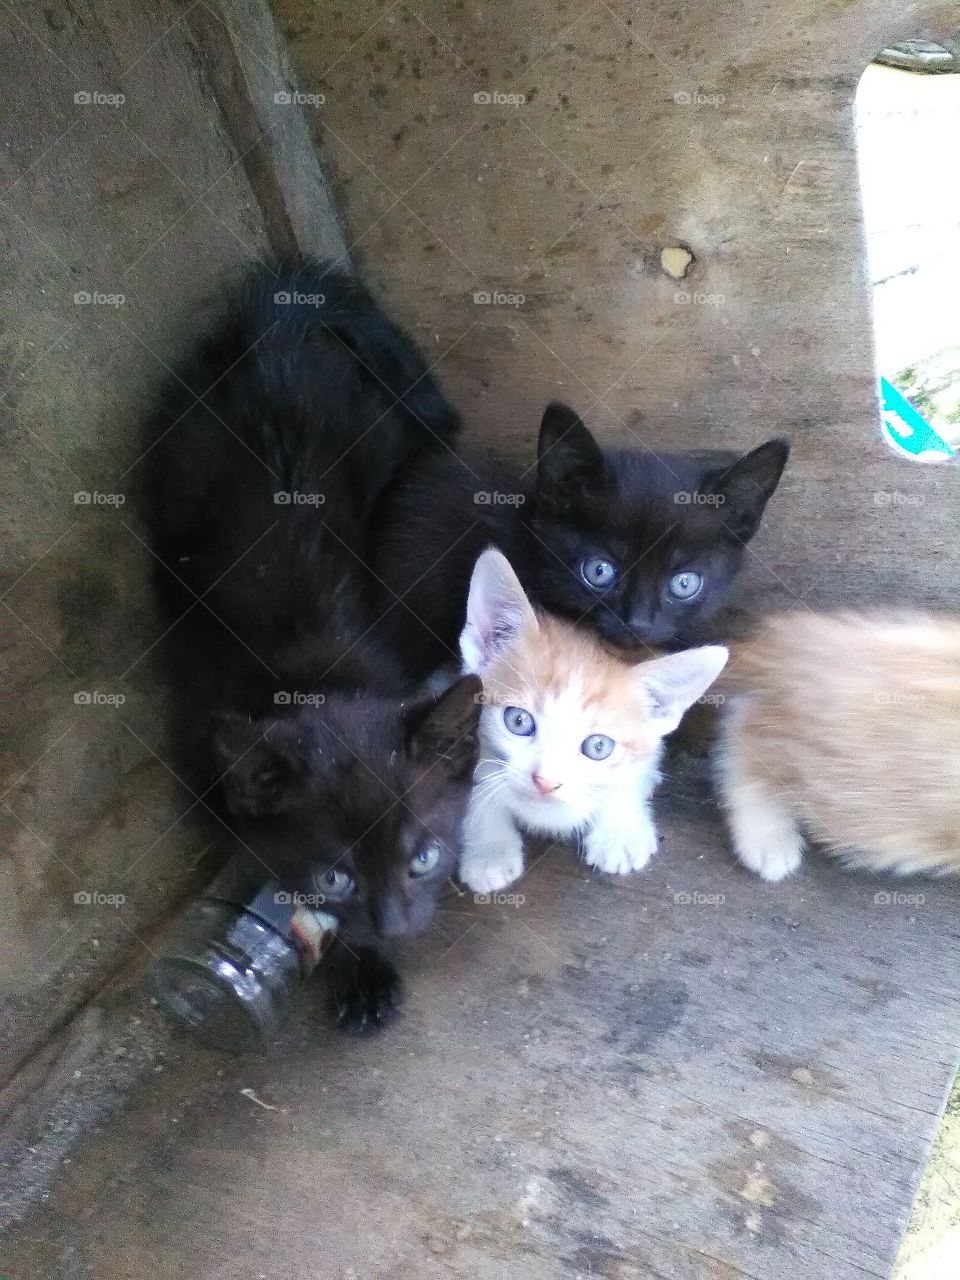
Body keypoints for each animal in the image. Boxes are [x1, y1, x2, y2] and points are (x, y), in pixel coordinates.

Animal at [144, 259, 478, 1029]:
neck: (314, 678)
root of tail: (279, 329)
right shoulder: (204, 780)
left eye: (423, 857)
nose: (396, 925)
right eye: (337, 874)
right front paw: (356, 962)